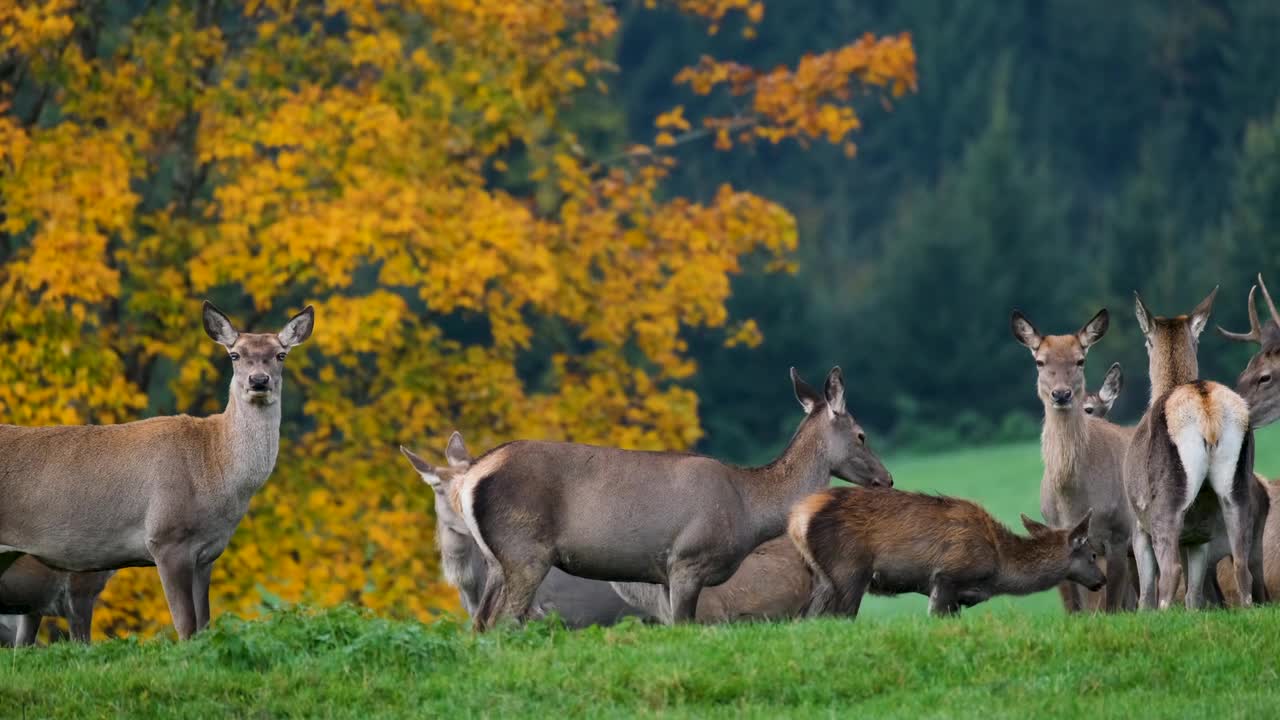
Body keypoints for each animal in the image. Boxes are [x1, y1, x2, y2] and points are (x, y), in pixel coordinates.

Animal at [0, 299, 314, 635]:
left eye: (280, 354)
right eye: (235, 354)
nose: (258, 380)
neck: (215, 469)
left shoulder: (207, 553)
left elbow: (204, 625)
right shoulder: (166, 537)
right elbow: (186, 626)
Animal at [458, 366, 890, 625]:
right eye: (861, 435)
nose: (886, 479)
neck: (750, 508)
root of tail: (470, 477)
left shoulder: (665, 575)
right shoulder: (688, 561)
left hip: (497, 561)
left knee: (479, 625)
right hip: (525, 551)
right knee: (501, 624)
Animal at [1008, 308, 1141, 609]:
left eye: (1081, 359)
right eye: (1039, 361)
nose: (1061, 394)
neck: (1074, 501)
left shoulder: (1119, 535)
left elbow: (1111, 607)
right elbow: (1075, 609)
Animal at [1121, 288, 1259, 607]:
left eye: (1147, 340)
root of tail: (1205, 405)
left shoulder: (1137, 522)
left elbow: (1145, 594)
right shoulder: (1199, 535)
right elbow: (1195, 596)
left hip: (1166, 499)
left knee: (1169, 572)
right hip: (1237, 487)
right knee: (1241, 566)